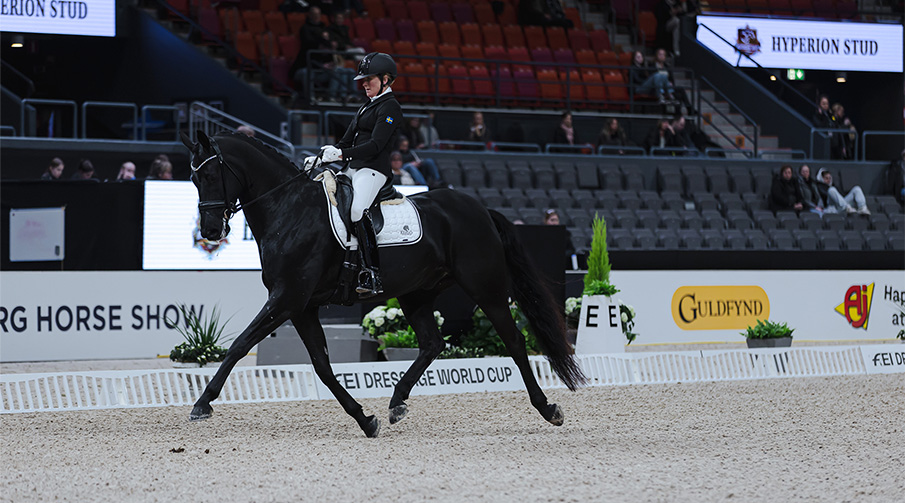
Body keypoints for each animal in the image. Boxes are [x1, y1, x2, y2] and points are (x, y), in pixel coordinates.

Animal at [180, 130, 586, 438]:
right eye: (194, 179)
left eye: (211, 175)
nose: (211, 232)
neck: (289, 209)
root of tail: (478, 209)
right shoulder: (302, 306)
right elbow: (322, 366)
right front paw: (365, 419)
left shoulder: (287, 299)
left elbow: (239, 345)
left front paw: (203, 403)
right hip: (417, 293)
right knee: (433, 343)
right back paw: (396, 402)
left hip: (485, 287)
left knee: (514, 341)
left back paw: (548, 408)